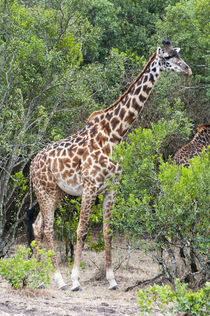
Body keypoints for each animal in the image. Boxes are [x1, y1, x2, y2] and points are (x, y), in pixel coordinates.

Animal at [27, 40, 191, 292]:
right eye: (168, 57)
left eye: (178, 55)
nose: (188, 70)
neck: (115, 135)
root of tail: (32, 164)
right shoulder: (90, 187)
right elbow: (82, 230)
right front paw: (75, 280)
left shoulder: (112, 187)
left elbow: (108, 231)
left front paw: (112, 280)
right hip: (44, 190)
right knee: (47, 228)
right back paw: (59, 279)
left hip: (57, 192)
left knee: (37, 226)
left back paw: (38, 274)